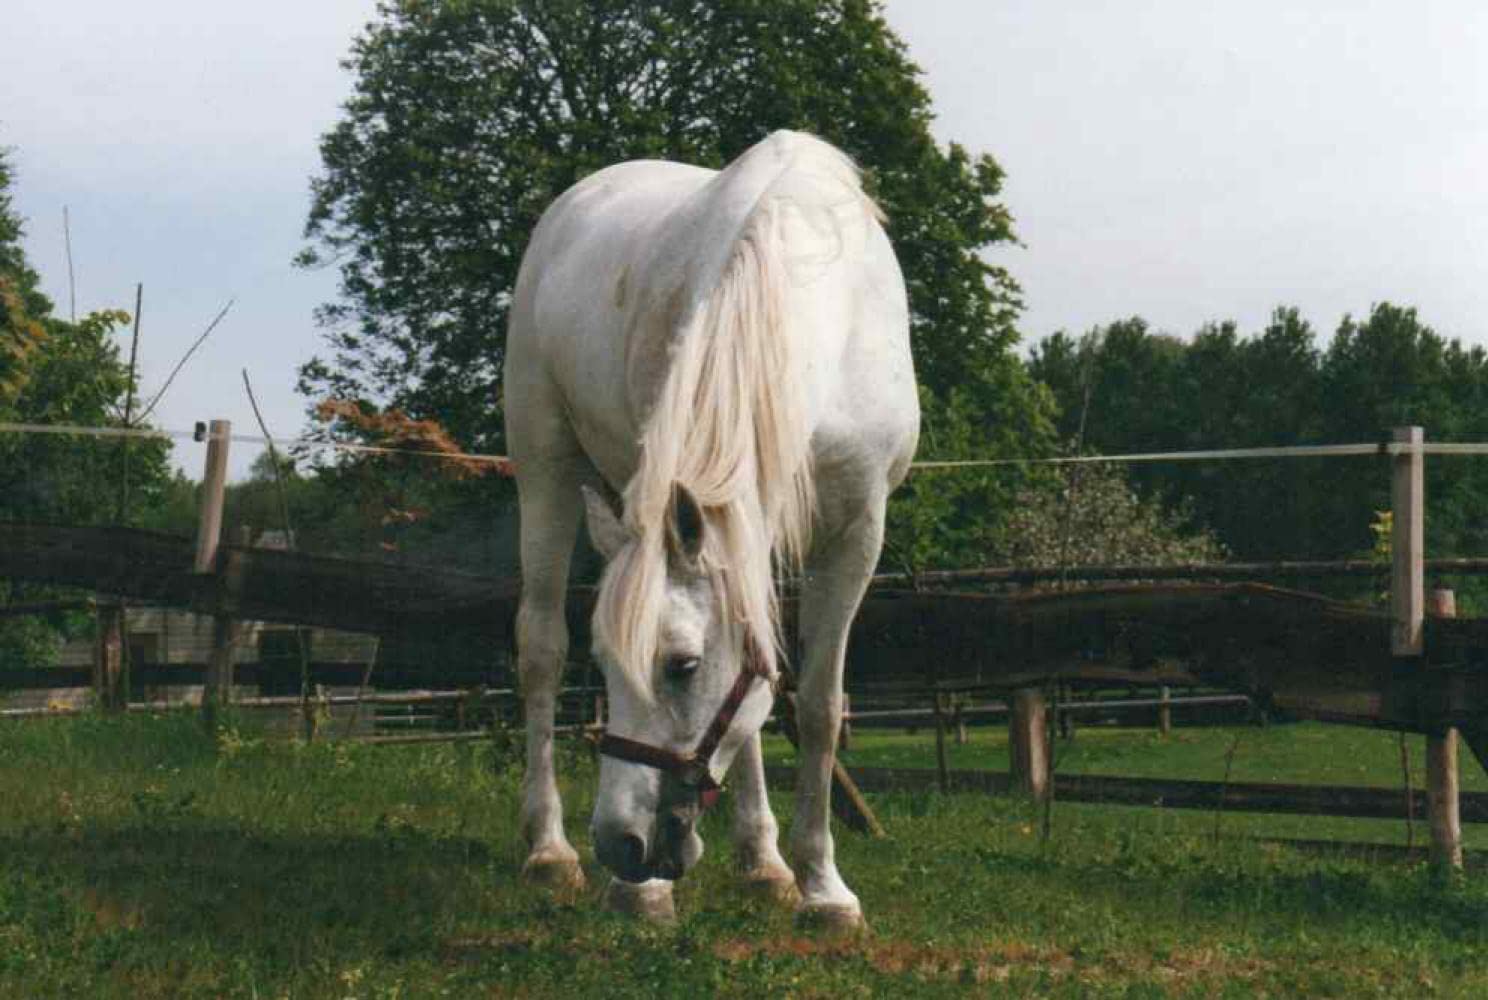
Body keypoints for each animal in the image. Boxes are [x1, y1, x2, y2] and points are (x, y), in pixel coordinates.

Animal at [504, 129, 918, 930]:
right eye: (605, 665)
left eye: (682, 666)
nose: (622, 845)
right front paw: (643, 894)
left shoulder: (855, 533)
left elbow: (815, 704)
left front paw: (820, 886)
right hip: (543, 466)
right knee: (539, 647)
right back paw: (546, 850)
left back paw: (763, 862)